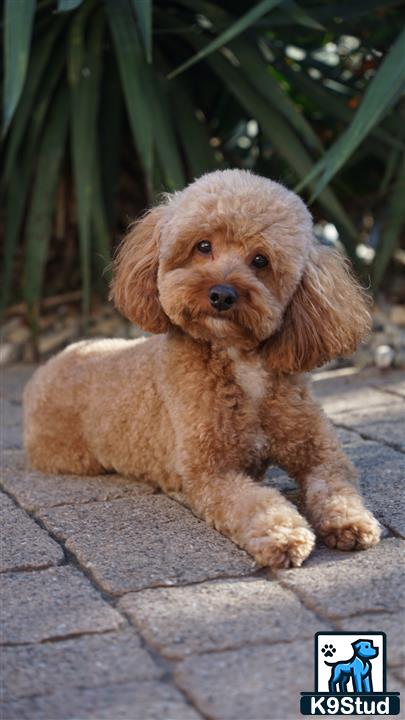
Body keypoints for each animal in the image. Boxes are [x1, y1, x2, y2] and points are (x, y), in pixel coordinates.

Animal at [23, 169, 380, 568]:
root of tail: (50, 363)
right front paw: (282, 534)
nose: (222, 294)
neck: (241, 366)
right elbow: (256, 502)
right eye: (203, 246)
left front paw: (351, 522)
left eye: (260, 260)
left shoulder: (319, 452)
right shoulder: (211, 474)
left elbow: (335, 484)